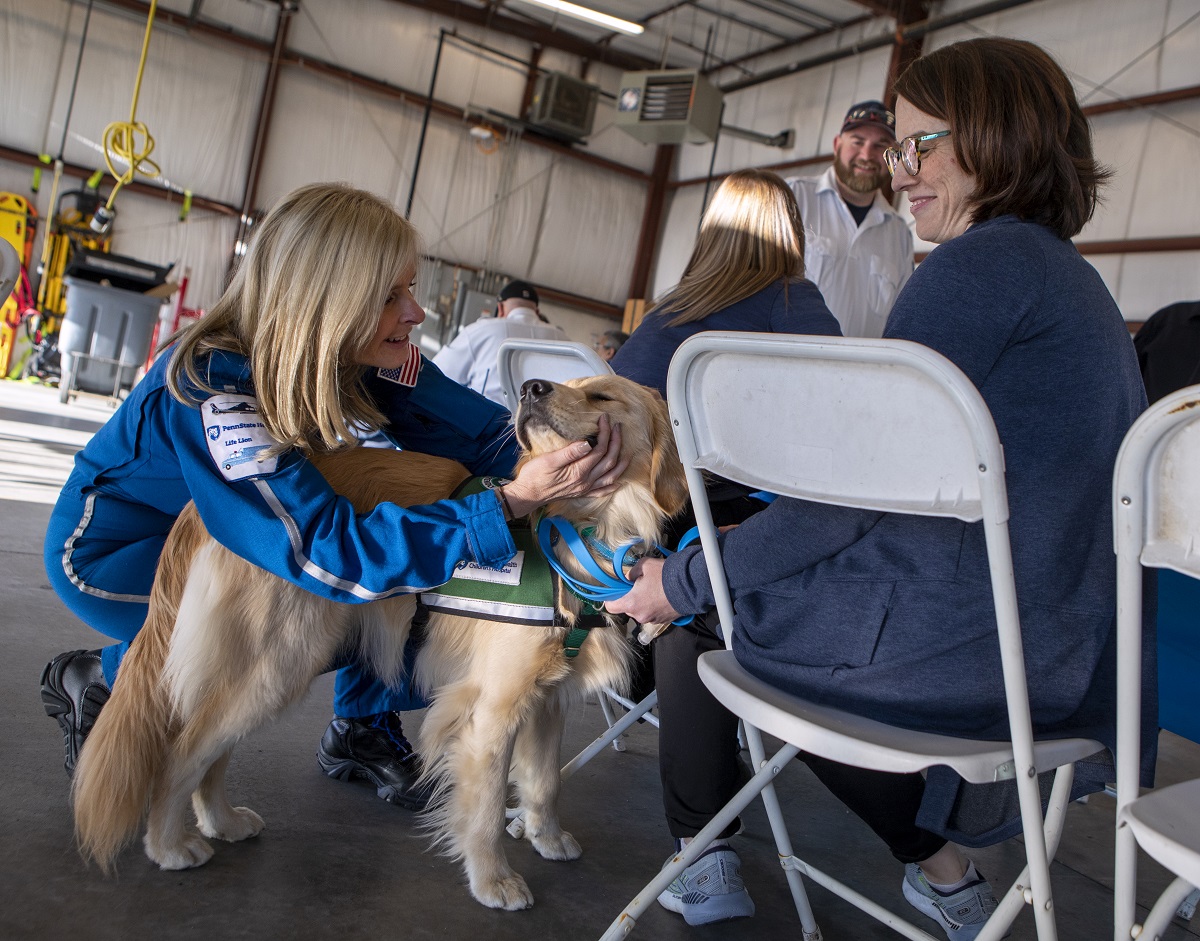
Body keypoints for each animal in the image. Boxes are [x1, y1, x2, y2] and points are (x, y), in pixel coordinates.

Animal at [70, 374, 691, 912]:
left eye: (604, 395)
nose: (530, 388)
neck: (584, 527)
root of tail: (205, 507)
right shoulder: (493, 706)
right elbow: (488, 806)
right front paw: (493, 879)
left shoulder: (545, 698)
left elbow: (544, 781)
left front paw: (546, 836)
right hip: (278, 661)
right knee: (183, 749)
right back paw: (170, 843)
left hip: (264, 667)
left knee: (211, 748)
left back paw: (221, 821)